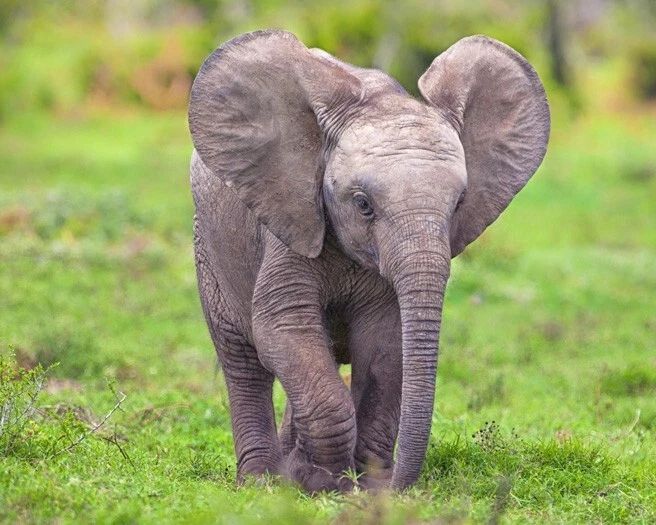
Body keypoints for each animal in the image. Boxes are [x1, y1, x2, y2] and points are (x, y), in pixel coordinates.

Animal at [188, 30, 549, 493]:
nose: (396, 484)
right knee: (243, 359)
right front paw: (324, 482)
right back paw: (261, 480)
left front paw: (362, 484)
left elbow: (385, 343)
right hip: (209, 244)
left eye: (459, 204)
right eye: (363, 204)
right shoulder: (289, 224)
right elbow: (283, 327)